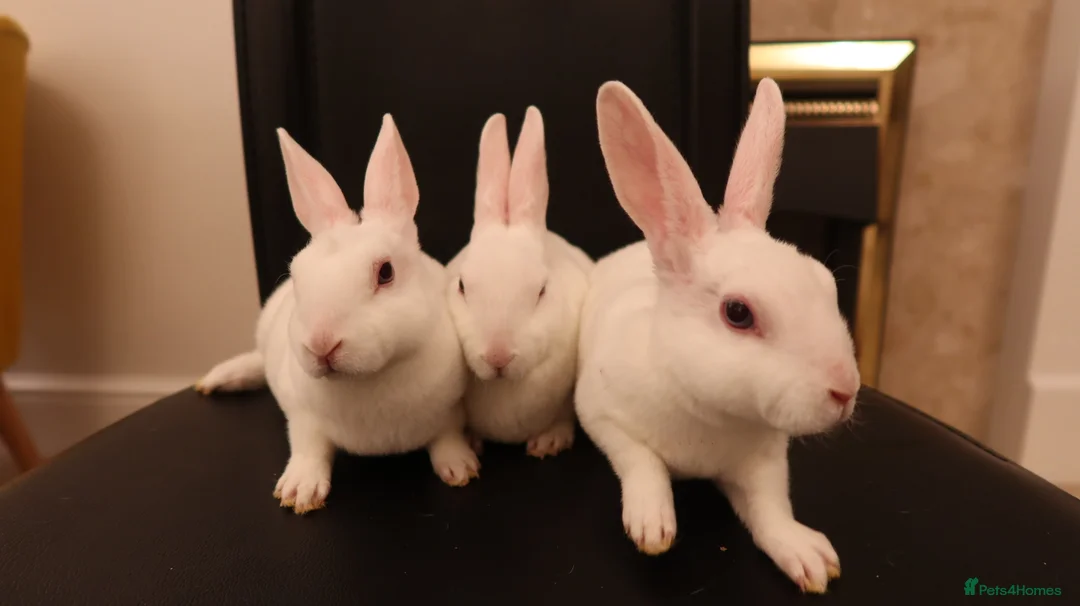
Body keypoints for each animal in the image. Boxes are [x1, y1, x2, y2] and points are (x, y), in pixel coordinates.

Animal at [195, 115, 477, 514]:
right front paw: (299, 491)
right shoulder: (303, 418)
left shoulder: (451, 411)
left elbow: (447, 438)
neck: (368, 380)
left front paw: (461, 467)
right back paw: (219, 379)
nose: (321, 344)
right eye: (297, 276)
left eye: (386, 272)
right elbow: (309, 448)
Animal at [446, 108, 594, 458]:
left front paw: (550, 442)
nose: (497, 357)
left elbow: (564, 416)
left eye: (542, 291)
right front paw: (470, 441)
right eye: (462, 287)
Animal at [575, 78, 861, 594]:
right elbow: (641, 462)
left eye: (825, 282)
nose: (845, 390)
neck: (711, 415)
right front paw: (652, 526)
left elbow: (772, 509)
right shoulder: (601, 415)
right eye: (738, 313)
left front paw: (809, 557)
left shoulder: (766, 461)